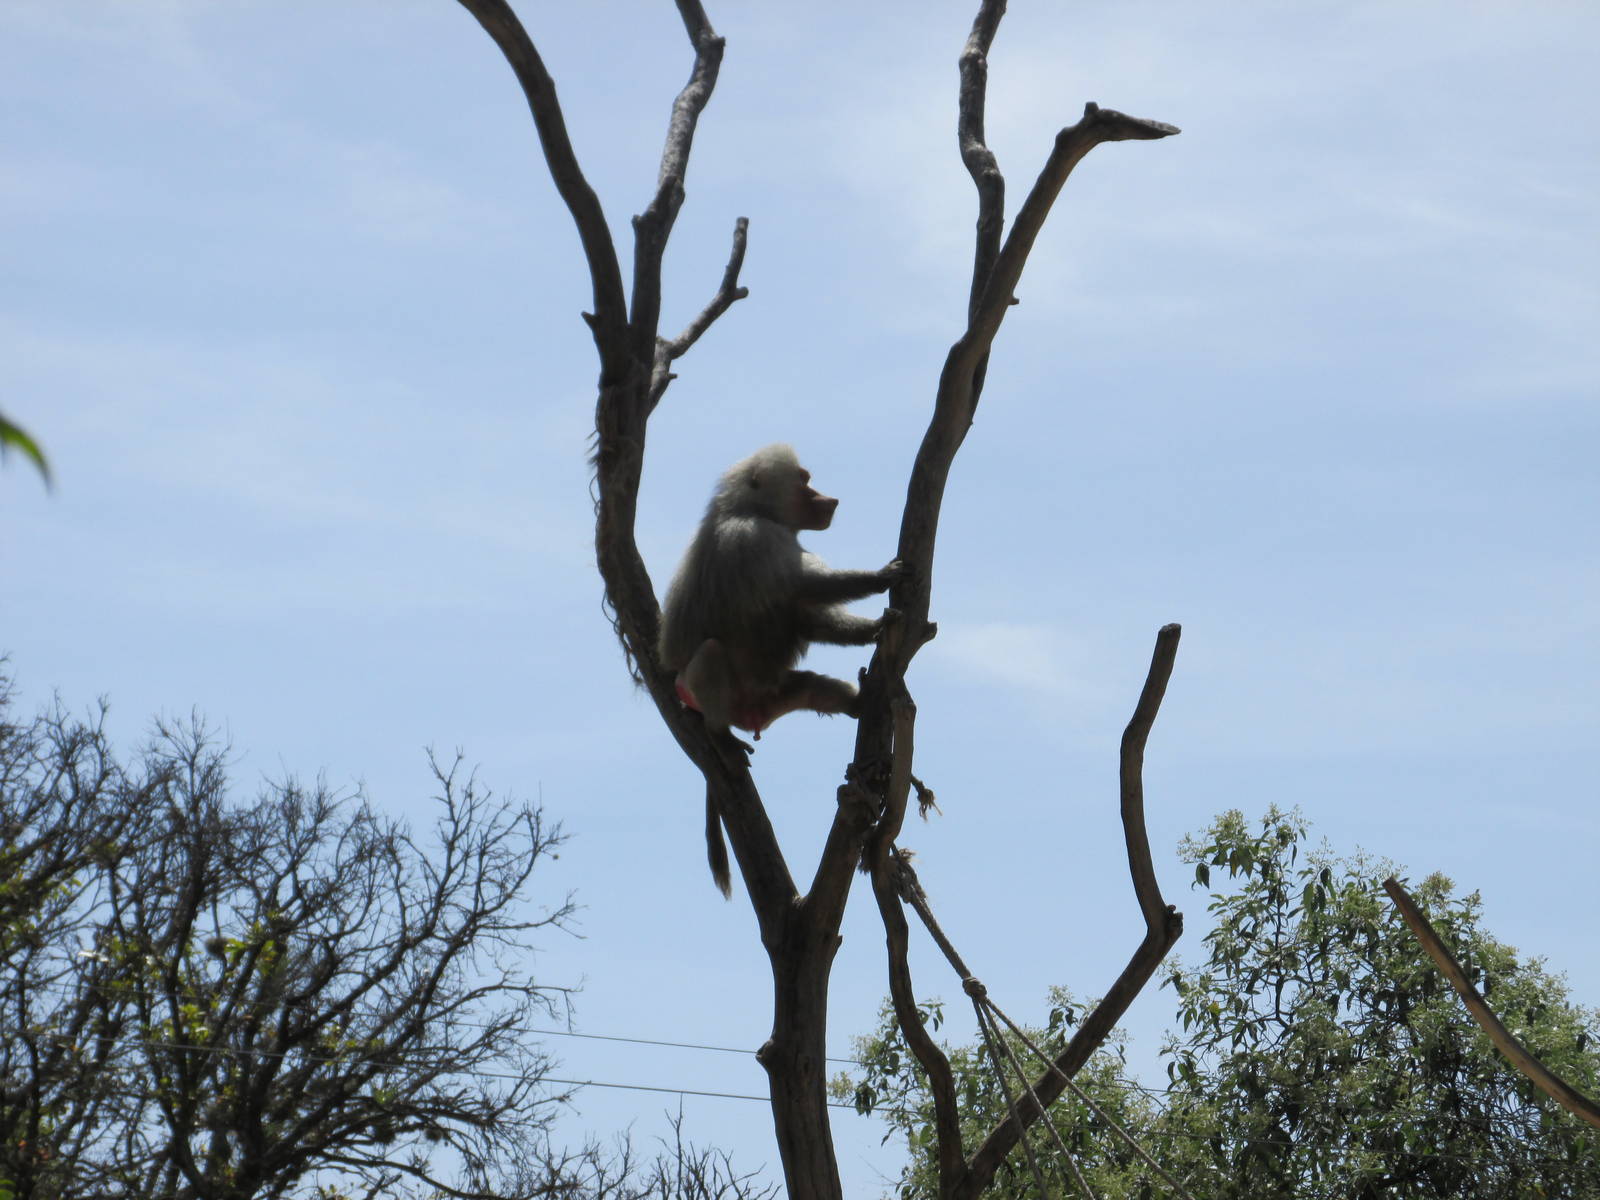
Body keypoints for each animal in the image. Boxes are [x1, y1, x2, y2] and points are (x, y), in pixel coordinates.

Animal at [658, 443, 901, 894]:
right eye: (805, 481)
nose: (831, 500)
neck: (750, 508)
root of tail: (753, 716)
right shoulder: (756, 539)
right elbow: (803, 588)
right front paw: (881, 576)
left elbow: (803, 616)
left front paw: (872, 629)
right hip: (714, 693)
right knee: (710, 655)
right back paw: (721, 737)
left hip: (780, 692)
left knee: (818, 689)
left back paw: (862, 704)